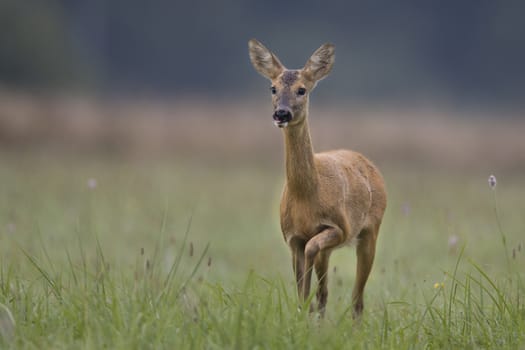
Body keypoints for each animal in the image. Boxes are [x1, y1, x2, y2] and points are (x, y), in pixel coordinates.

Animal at [248, 39, 386, 318]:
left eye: (302, 90)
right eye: (273, 88)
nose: (281, 113)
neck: (307, 196)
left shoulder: (340, 227)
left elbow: (312, 251)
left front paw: (307, 310)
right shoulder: (292, 237)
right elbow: (304, 290)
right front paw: (303, 314)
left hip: (370, 232)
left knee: (357, 299)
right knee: (326, 293)